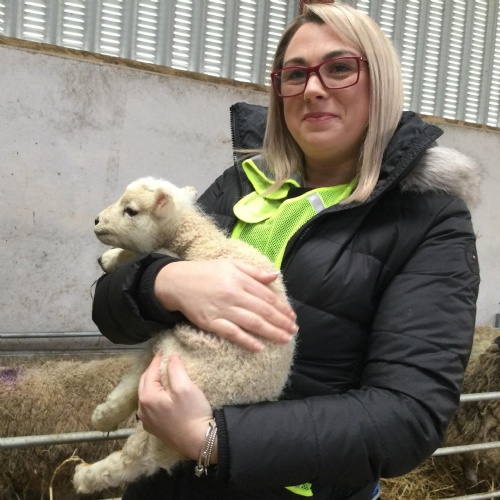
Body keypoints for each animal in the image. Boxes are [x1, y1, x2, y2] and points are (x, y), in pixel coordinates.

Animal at [73, 177, 296, 494]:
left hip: (171, 396)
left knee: (136, 457)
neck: (202, 245)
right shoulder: (165, 338)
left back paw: (86, 476)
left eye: (131, 211)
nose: (97, 221)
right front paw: (103, 415)